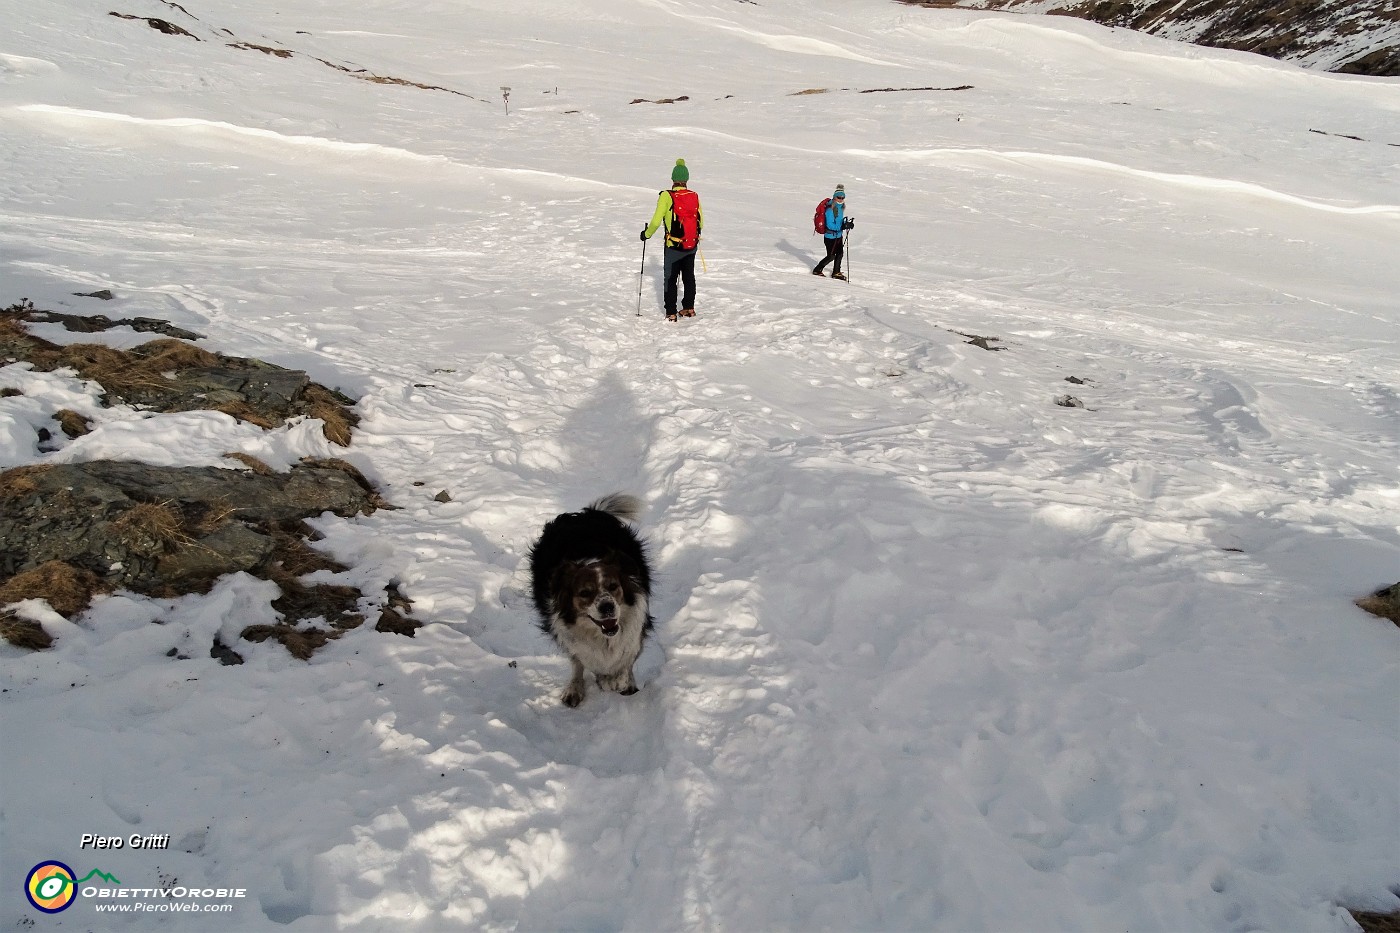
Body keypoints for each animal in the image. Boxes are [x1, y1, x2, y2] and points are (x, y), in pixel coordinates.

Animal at [529, 493, 655, 706]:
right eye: (584, 593)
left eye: (613, 586)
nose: (607, 607)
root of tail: (585, 514)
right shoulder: (568, 634)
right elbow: (580, 658)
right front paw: (590, 683)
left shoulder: (636, 626)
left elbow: (628, 657)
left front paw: (619, 681)